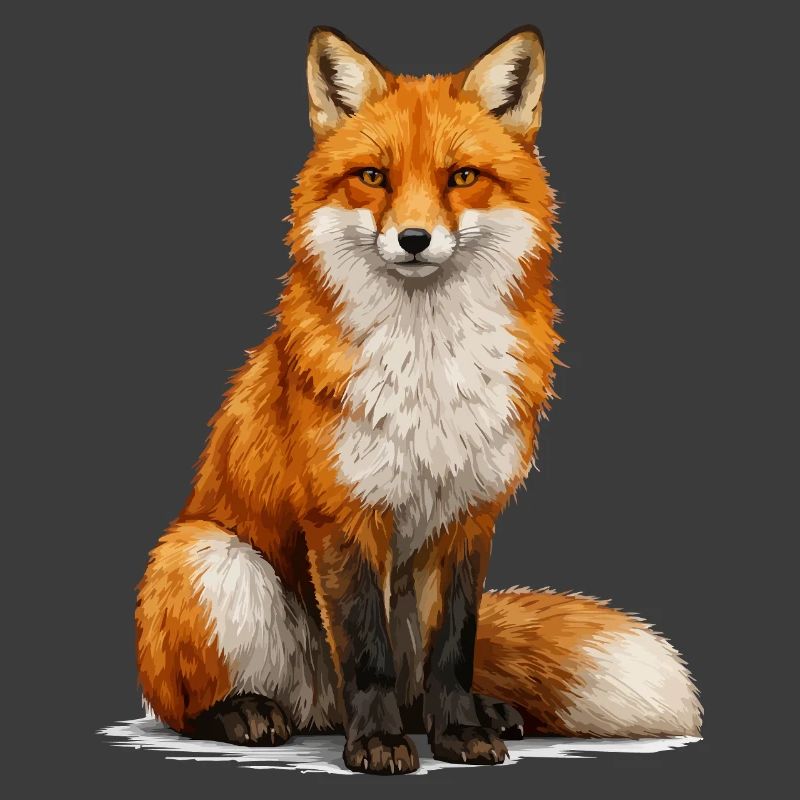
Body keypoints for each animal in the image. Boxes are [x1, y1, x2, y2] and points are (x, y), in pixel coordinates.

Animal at [135, 25, 702, 775]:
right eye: (374, 177)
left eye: (461, 177)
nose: (413, 239)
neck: (430, 368)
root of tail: (317, 708)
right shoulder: (344, 515)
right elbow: (365, 652)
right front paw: (376, 746)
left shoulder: (469, 517)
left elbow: (453, 650)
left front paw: (459, 731)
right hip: (209, 559)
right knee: (187, 705)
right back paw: (245, 713)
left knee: (418, 685)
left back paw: (473, 713)